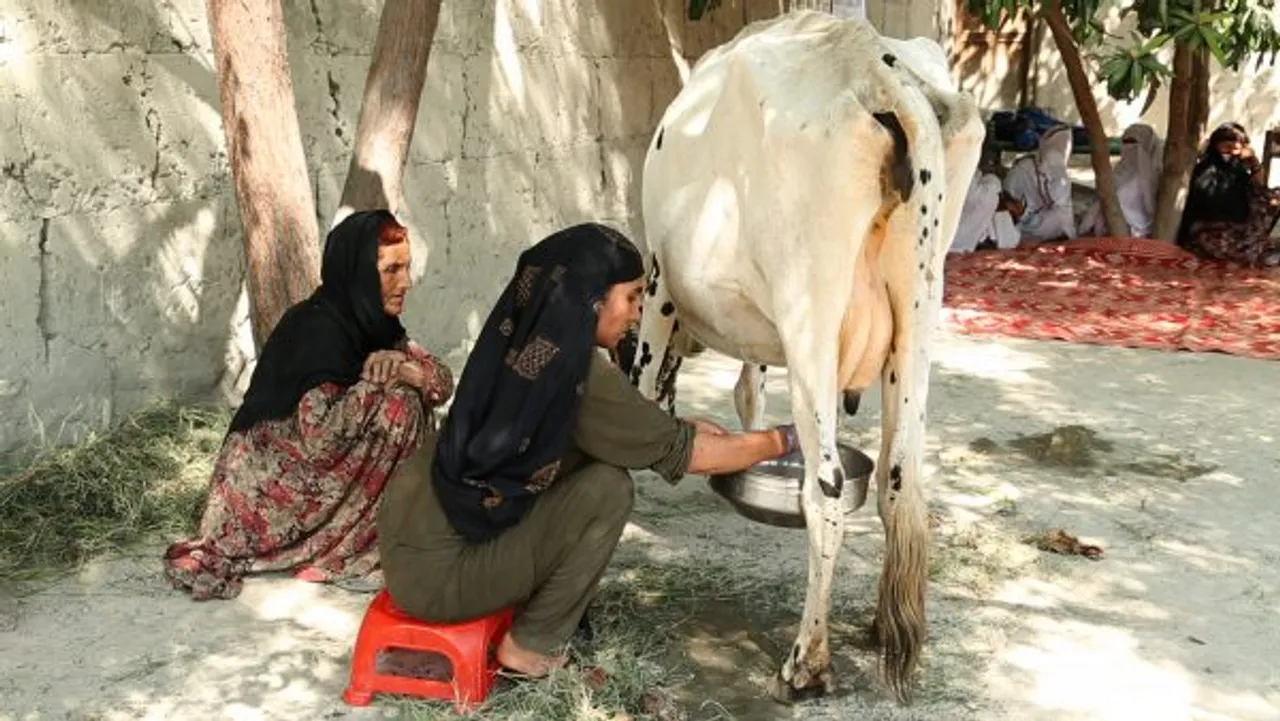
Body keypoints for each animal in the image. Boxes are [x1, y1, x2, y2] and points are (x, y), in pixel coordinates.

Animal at [627, 11, 977, 706]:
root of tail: (873, 65)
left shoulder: (658, 285)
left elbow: (647, 388)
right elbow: (749, 388)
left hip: (809, 307)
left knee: (828, 492)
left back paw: (806, 663)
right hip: (922, 305)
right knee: (900, 480)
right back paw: (882, 626)